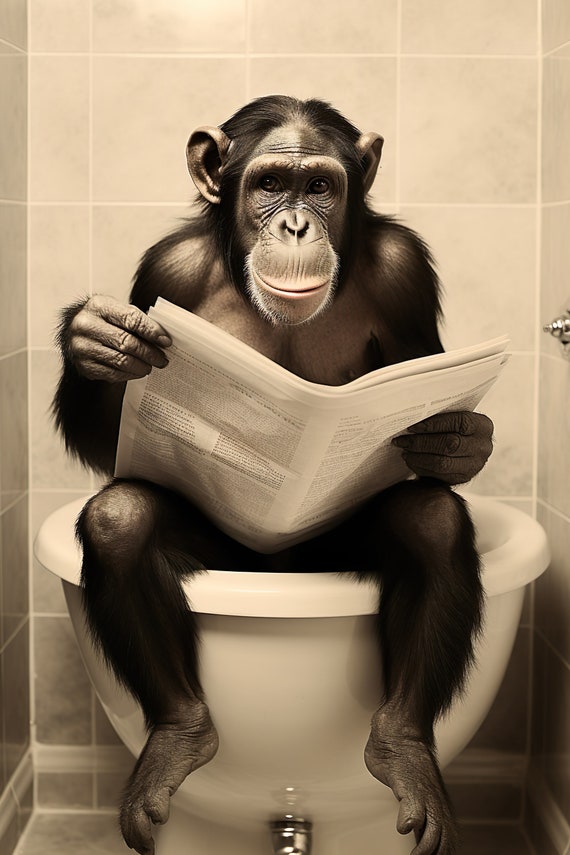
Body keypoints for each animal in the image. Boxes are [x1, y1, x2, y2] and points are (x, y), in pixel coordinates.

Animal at [53, 96, 494, 855]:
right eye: (268, 185)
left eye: (318, 186)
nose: (295, 224)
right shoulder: (167, 274)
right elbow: (115, 446)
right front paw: (94, 339)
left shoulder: (405, 272)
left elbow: (426, 382)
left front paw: (456, 438)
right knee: (120, 518)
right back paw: (177, 738)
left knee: (433, 523)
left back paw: (405, 752)